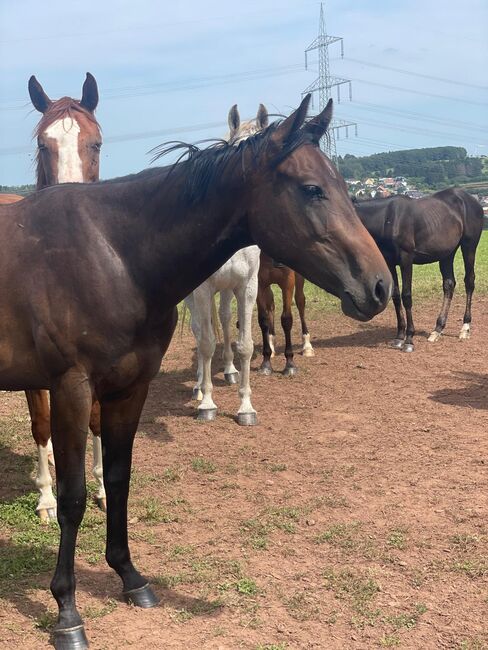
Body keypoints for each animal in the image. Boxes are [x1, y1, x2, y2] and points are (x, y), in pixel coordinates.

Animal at [183, 102, 268, 426]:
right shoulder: (203, 289)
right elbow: (206, 343)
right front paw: (207, 403)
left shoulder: (246, 286)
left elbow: (245, 345)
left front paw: (246, 407)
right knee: (199, 329)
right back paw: (197, 386)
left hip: (227, 291)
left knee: (223, 318)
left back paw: (230, 371)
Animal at [354, 187, 484, 350]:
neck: (387, 218)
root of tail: (472, 201)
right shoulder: (390, 263)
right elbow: (396, 296)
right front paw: (399, 337)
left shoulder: (406, 260)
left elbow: (406, 296)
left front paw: (409, 339)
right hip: (447, 253)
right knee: (449, 284)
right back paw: (437, 329)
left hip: (469, 246)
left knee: (469, 281)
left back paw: (465, 328)